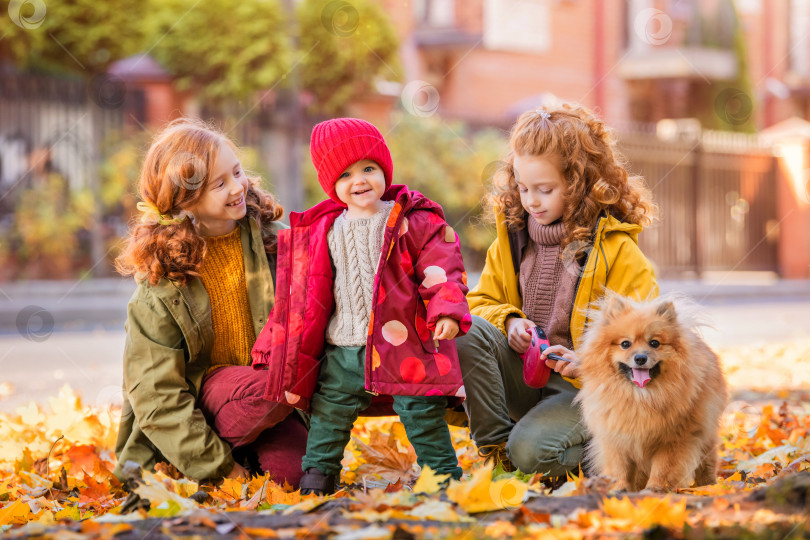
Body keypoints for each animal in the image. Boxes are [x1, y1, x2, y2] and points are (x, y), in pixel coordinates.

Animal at [576, 294, 724, 492]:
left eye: (654, 343)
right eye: (625, 344)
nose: (640, 358)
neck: (640, 397)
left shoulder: (674, 439)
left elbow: (663, 467)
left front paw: (655, 488)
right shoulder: (616, 436)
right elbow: (619, 467)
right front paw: (619, 488)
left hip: (705, 432)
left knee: (706, 460)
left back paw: (708, 485)